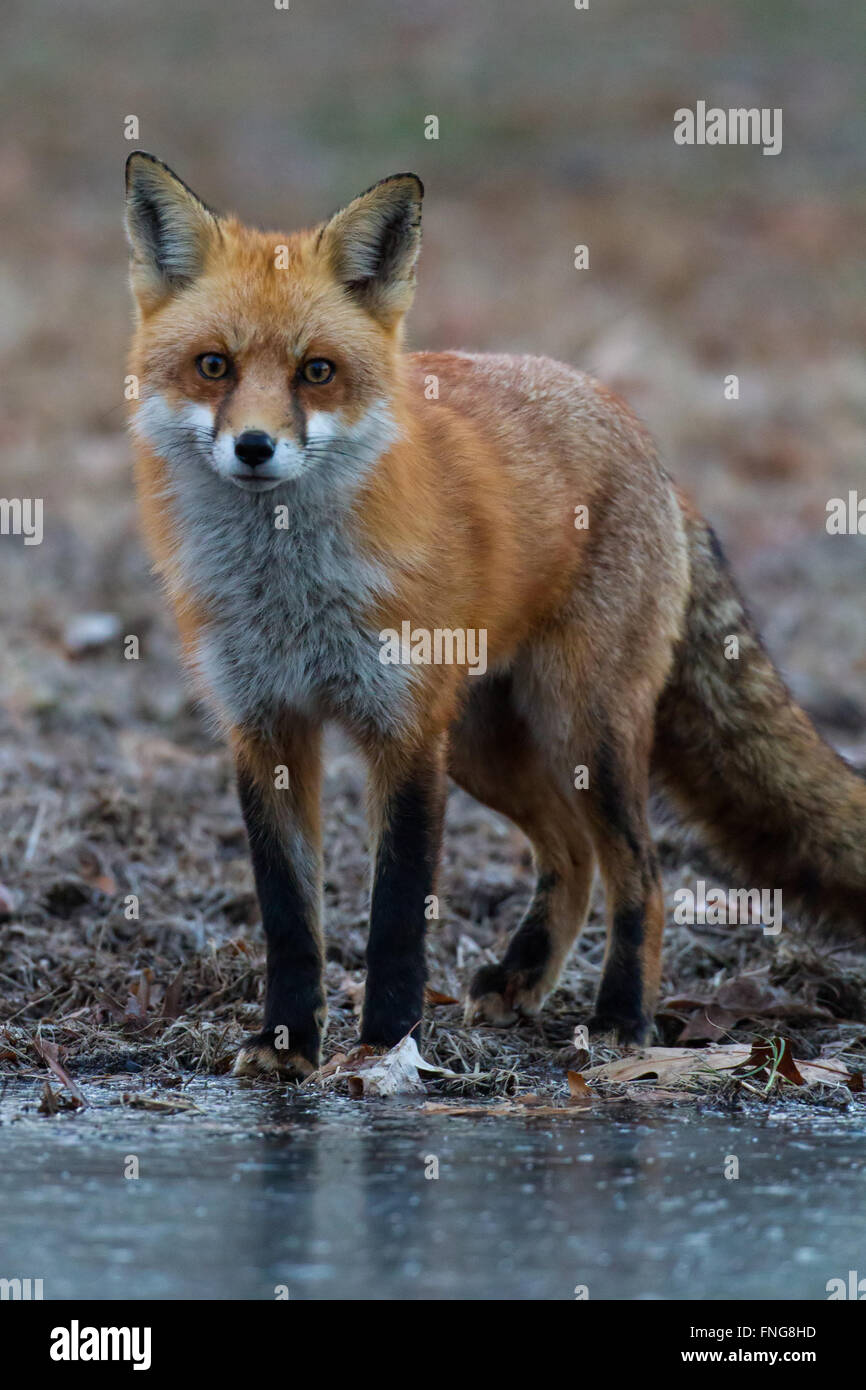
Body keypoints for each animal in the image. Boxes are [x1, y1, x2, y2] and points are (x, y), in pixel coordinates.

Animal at [125, 151, 866, 1080]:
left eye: (316, 372)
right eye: (214, 366)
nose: (254, 448)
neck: (290, 593)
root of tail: (642, 436)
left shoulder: (405, 733)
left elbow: (397, 913)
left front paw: (385, 1045)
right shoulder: (264, 727)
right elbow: (289, 916)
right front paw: (287, 1043)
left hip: (581, 728)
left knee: (641, 874)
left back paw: (623, 1018)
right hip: (487, 745)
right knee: (572, 857)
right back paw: (523, 979)